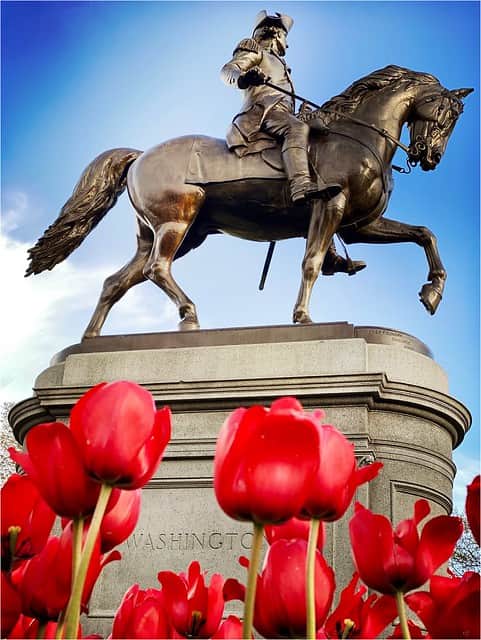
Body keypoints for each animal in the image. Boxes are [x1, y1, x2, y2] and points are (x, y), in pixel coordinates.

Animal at [25, 65, 468, 338]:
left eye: (454, 119)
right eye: (444, 112)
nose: (430, 157)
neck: (356, 137)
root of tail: (141, 155)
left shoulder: (359, 227)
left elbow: (425, 234)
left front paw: (432, 292)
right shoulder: (330, 208)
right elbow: (310, 263)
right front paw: (303, 317)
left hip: (171, 234)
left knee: (117, 281)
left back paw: (91, 340)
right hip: (176, 223)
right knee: (156, 269)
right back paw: (189, 315)